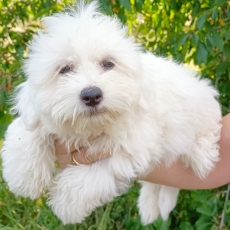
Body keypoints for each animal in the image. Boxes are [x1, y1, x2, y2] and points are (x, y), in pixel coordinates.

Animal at [1, 1, 221, 225]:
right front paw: (24, 177)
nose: (91, 95)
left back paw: (201, 155)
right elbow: (26, 131)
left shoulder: (133, 147)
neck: (92, 128)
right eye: (65, 69)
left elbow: (94, 173)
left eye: (108, 63)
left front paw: (67, 205)